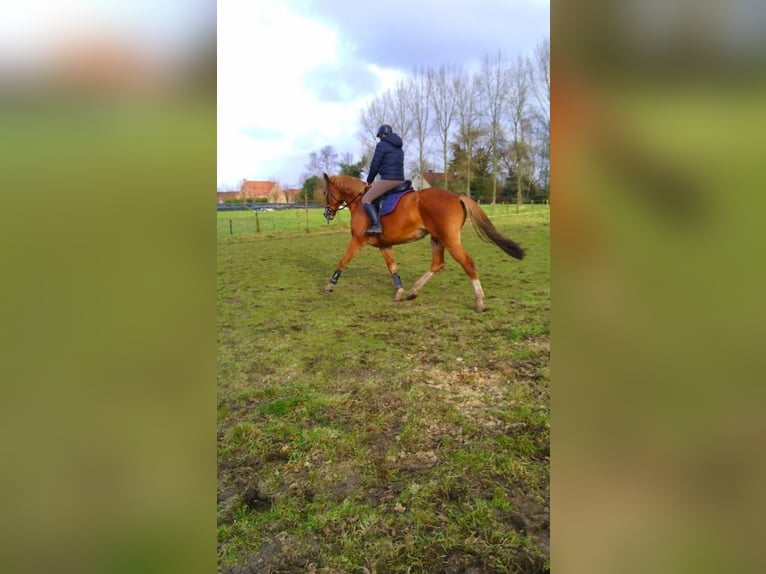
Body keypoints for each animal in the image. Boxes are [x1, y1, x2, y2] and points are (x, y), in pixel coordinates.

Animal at [320, 173, 524, 312]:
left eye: (325, 192)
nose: (327, 213)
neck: (360, 201)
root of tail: (457, 196)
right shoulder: (384, 246)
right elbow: (392, 268)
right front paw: (400, 292)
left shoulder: (357, 240)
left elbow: (343, 261)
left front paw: (330, 286)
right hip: (437, 239)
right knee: (437, 263)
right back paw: (413, 291)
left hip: (450, 240)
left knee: (468, 263)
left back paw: (480, 301)